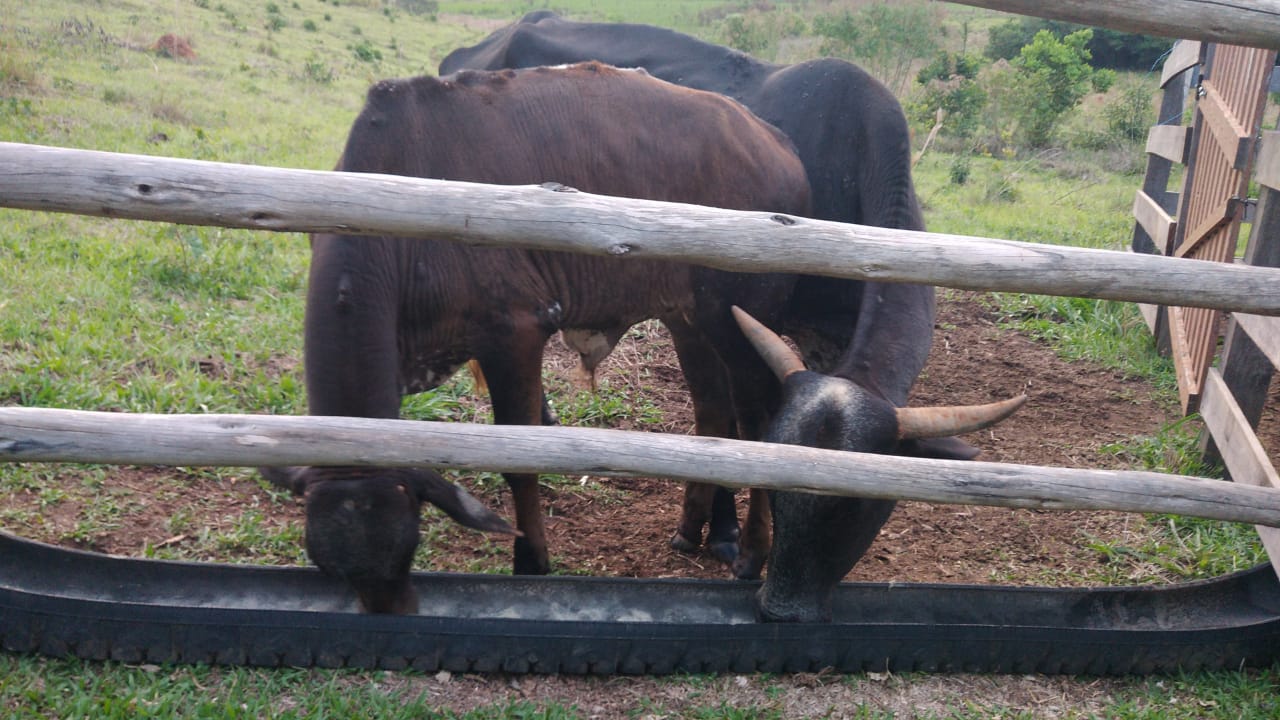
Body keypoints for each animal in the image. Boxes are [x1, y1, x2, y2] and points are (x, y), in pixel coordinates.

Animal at [262, 63, 808, 609]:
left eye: (406, 548)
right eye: (332, 569)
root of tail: (774, 141)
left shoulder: (514, 336)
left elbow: (520, 461)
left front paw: (530, 561)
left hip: (736, 322)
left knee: (757, 423)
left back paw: (753, 550)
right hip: (690, 320)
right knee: (715, 414)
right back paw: (699, 527)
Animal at [435, 12, 983, 617]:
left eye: (859, 504)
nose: (785, 605)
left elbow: (723, 419)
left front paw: (716, 530)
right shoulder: (722, 322)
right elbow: (727, 422)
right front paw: (721, 534)